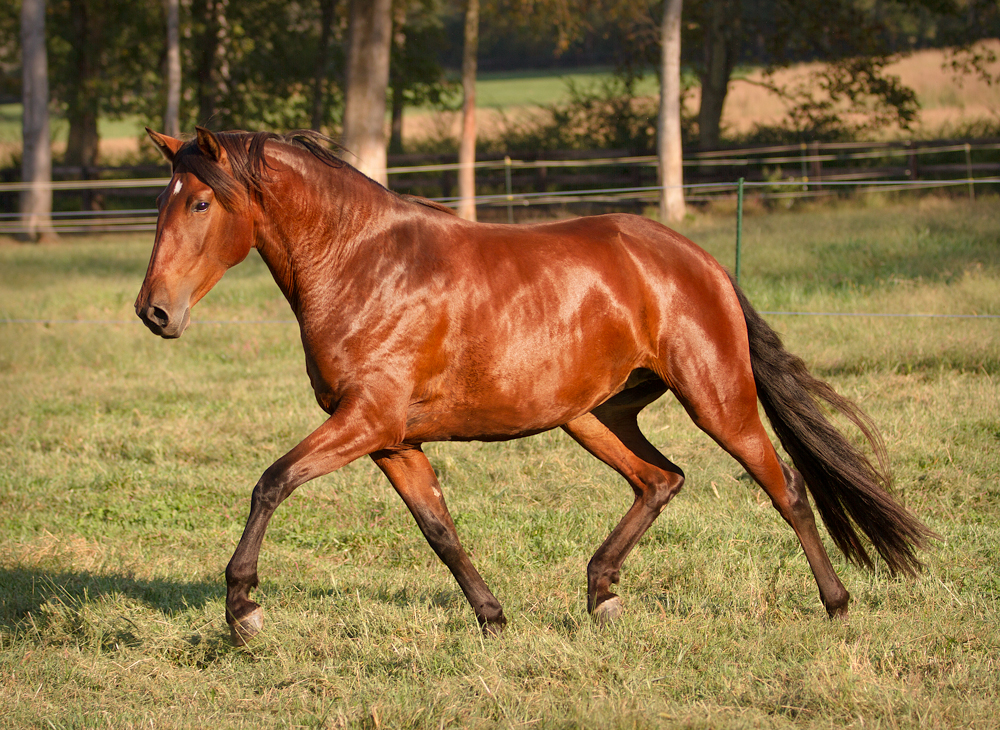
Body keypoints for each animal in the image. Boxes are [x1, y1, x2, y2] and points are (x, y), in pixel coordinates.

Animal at [137, 126, 932, 644]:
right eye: (161, 202)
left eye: (200, 203)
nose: (155, 312)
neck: (363, 264)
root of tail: (697, 260)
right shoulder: (392, 440)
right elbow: (440, 531)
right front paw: (492, 619)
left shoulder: (365, 422)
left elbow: (270, 483)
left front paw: (243, 612)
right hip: (594, 416)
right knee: (661, 479)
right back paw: (602, 596)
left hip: (718, 401)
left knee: (784, 487)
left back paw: (837, 605)